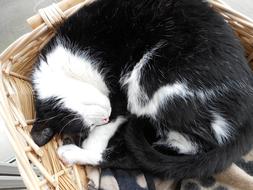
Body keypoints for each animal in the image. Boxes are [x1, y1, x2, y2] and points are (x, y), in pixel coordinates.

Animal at [30, 0, 253, 180]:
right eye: (87, 125)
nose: (105, 117)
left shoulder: (118, 95)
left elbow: (111, 120)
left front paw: (93, 141)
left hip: (153, 78)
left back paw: (73, 153)